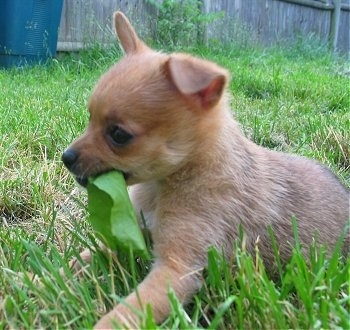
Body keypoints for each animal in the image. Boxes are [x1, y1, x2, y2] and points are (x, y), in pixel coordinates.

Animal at [61, 11, 348, 328]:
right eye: (89, 118)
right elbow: (79, 260)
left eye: (118, 135)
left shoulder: (177, 269)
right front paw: (38, 280)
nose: (66, 157)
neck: (166, 185)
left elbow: (124, 314)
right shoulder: (126, 237)